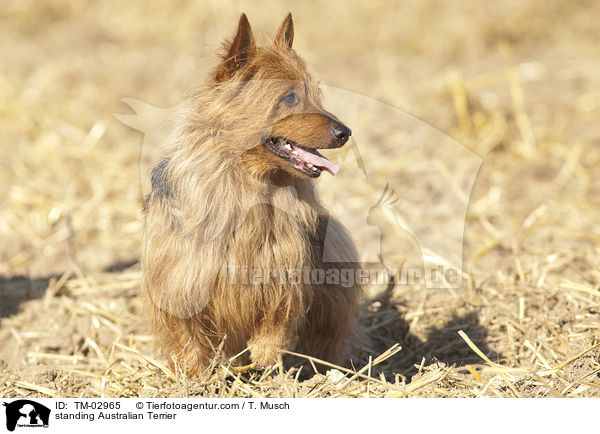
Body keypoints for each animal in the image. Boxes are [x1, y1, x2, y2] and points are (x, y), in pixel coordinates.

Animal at [142, 12, 366, 372]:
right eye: (290, 97)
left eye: (315, 93)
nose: (345, 132)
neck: (249, 184)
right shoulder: (181, 280)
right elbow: (190, 339)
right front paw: (197, 376)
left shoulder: (284, 274)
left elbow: (274, 325)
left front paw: (265, 360)